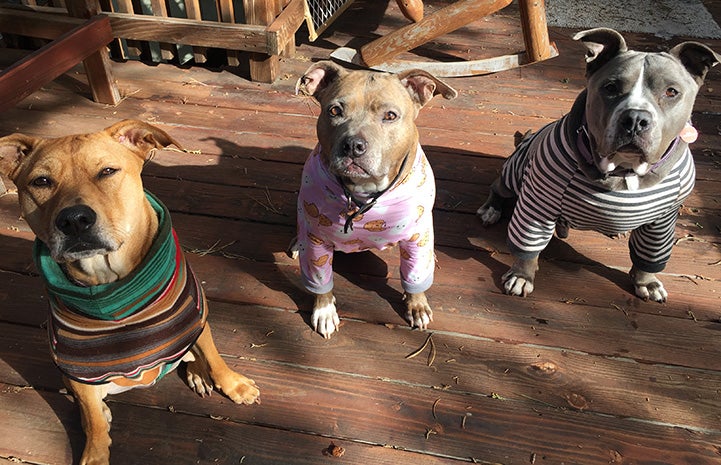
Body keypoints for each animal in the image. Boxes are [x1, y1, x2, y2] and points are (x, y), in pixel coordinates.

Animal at [0, 120, 258, 464]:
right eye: (41, 181)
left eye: (107, 171)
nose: (74, 219)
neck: (112, 285)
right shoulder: (77, 366)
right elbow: (93, 419)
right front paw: (96, 453)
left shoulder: (195, 316)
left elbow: (215, 358)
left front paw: (235, 386)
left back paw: (197, 373)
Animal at [292, 61, 456, 338]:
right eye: (334, 110)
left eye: (390, 115)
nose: (353, 145)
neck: (363, 194)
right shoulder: (316, 241)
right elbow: (320, 280)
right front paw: (324, 311)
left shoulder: (416, 237)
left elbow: (414, 275)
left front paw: (417, 305)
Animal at [476, 29, 716, 302]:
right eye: (610, 88)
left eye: (671, 92)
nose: (635, 118)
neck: (623, 171)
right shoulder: (538, 205)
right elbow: (528, 247)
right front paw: (521, 276)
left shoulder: (662, 222)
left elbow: (650, 256)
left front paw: (648, 282)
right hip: (513, 174)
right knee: (498, 188)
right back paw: (491, 210)